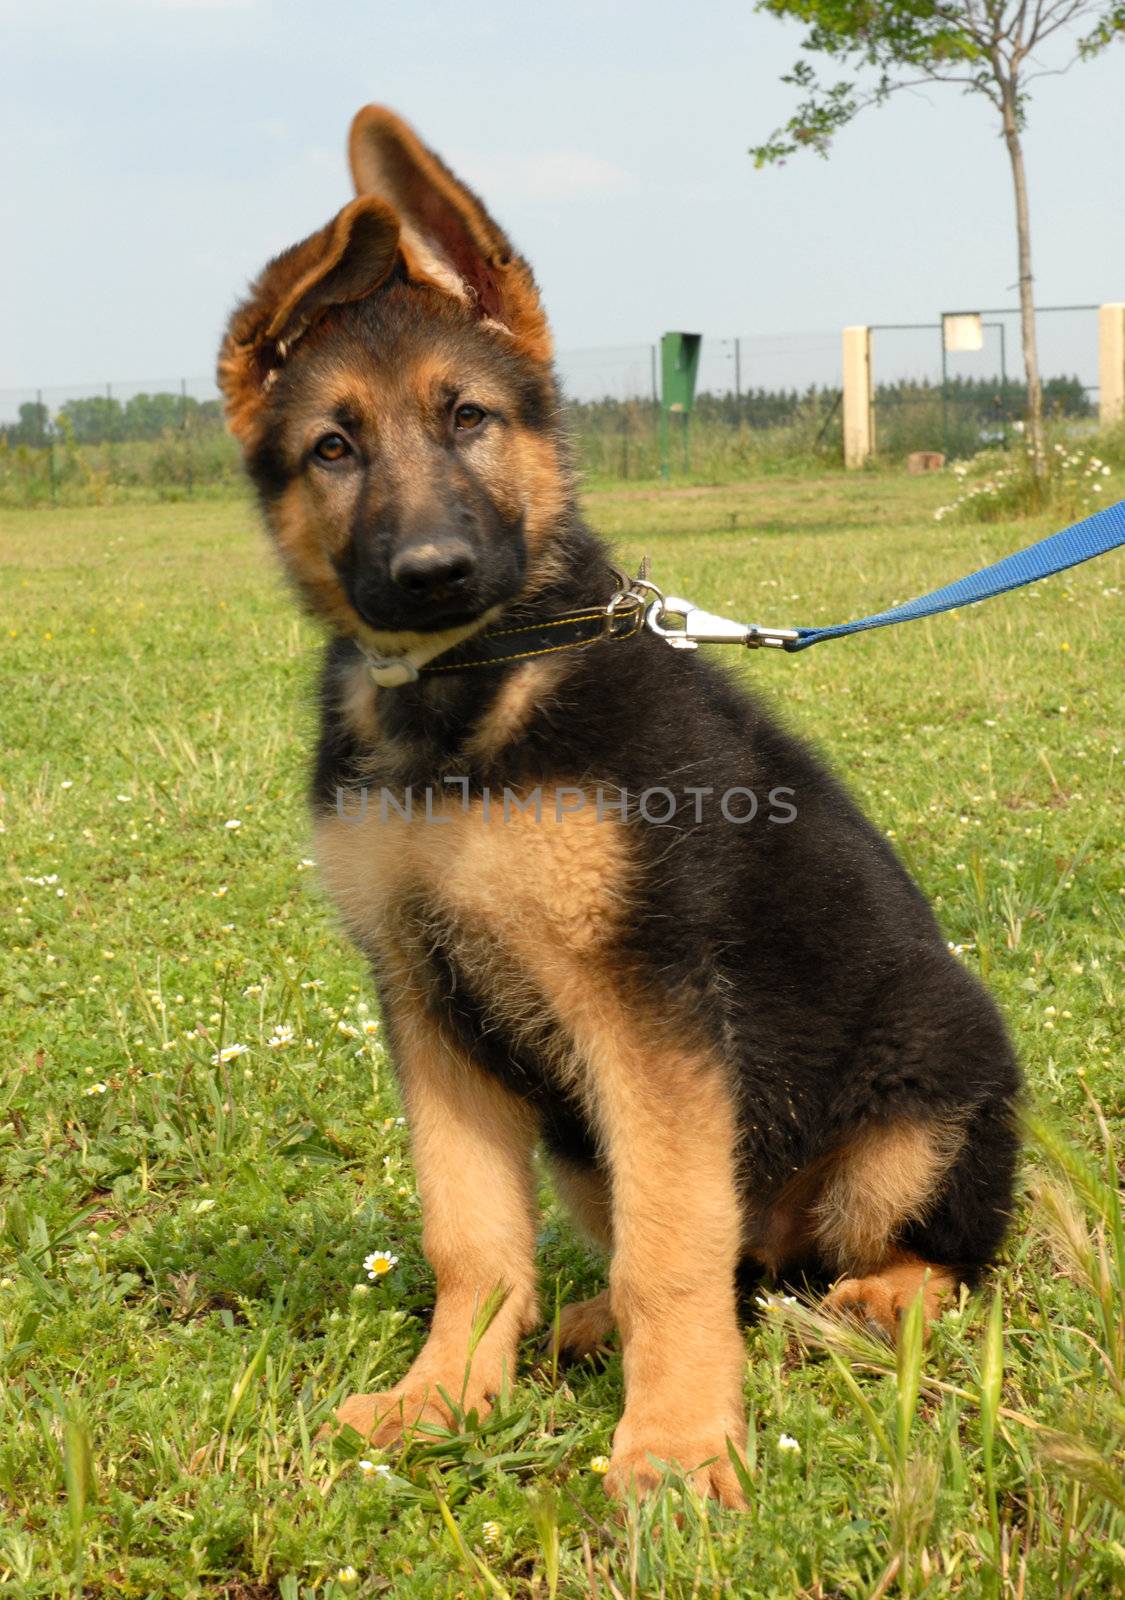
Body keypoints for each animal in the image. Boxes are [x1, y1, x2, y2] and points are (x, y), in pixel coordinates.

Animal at [217, 109, 1024, 1497]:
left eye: (470, 417)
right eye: (334, 447)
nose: (434, 573)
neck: (471, 692)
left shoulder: (644, 1003)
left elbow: (672, 1249)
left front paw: (680, 1440)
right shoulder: (427, 1001)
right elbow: (473, 1242)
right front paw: (443, 1395)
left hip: (915, 1098)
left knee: (919, 1260)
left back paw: (874, 1300)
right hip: (584, 1133)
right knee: (746, 1263)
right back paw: (595, 1322)